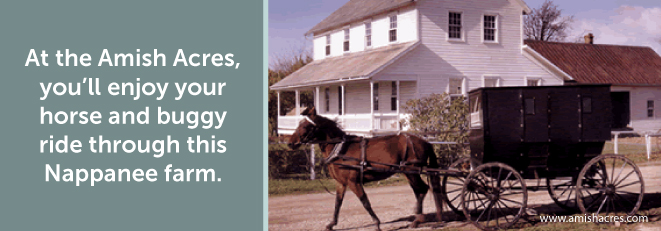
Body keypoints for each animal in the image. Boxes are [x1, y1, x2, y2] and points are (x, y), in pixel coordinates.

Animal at [286, 107, 440, 230]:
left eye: (305, 126)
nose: (290, 143)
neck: (341, 149)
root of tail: (424, 142)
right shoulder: (341, 183)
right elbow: (337, 203)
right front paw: (331, 224)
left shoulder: (353, 182)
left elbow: (365, 202)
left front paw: (377, 223)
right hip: (408, 173)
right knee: (419, 191)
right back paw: (417, 218)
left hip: (411, 171)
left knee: (423, 189)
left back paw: (418, 220)